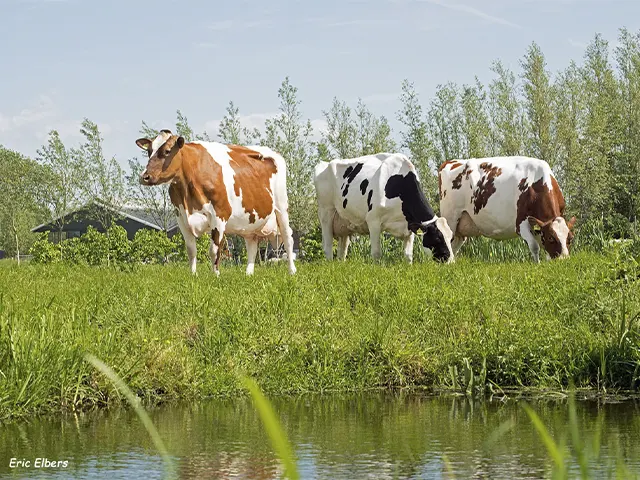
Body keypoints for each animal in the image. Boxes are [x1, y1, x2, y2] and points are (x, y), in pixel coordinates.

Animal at [136, 129, 296, 276]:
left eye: (167, 151)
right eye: (149, 151)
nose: (144, 177)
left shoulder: (219, 215)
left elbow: (214, 250)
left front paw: (215, 275)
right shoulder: (181, 217)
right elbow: (191, 250)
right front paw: (193, 275)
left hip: (282, 207)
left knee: (288, 239)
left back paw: (292, 271)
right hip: (251, 220)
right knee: (252, 244)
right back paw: (248, 274)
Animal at [312, 153, 452, 262]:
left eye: (451, 237)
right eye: (438, 237)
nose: (450, 261)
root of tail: (325, 163)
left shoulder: (410, 225)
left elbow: (408, 255)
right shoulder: (373, 220)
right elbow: (376, 253)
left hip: (344, 223)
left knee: (342, 250)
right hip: (326, 212)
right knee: (328, 246)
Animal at [438, 157, 576, 262]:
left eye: (570, 238)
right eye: (551, 238)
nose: (563, 259)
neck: (537, 185)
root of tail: (452, 162)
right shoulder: (520, 223)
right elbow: (534, 246)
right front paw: (537, 264)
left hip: (461, 227)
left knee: (455, 244)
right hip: (450, 218)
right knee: (447, 240)